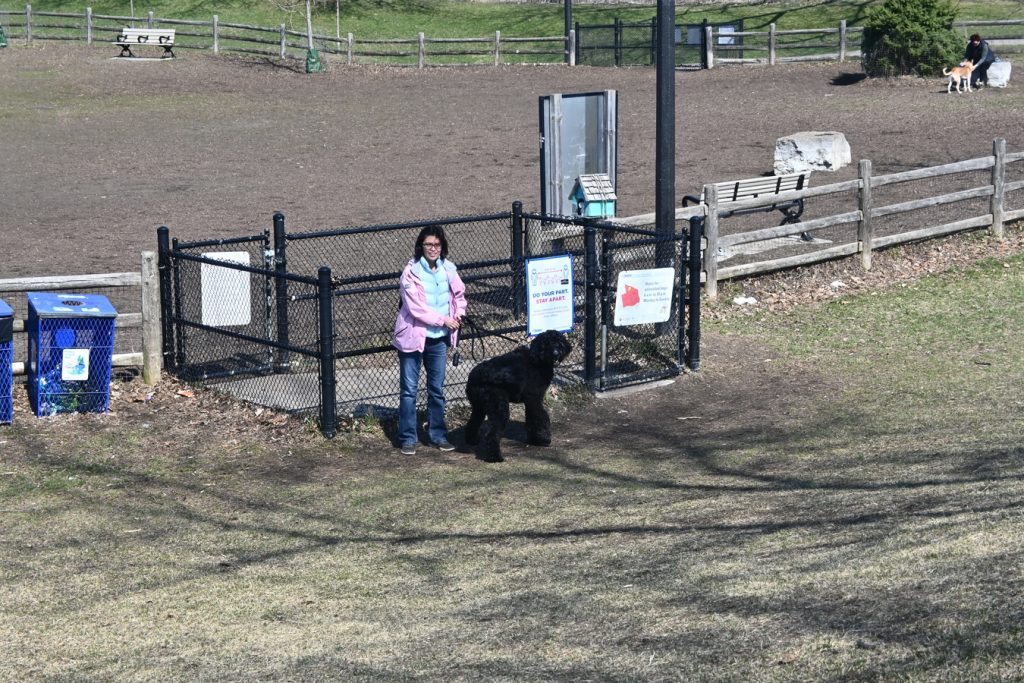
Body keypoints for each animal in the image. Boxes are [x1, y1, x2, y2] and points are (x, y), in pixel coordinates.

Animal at [466, 331, 577, 464]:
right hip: (498, 405)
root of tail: (477, 376)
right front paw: (544, 439)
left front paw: (534, 439)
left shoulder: (530, 401)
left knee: (474, 422)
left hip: (478, 406)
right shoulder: (534, 399)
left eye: (559, 344)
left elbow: (531, 419)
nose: (556, 353)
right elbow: (541, 417)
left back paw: (472, 440)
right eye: (548, 344)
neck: (537, 358)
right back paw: (494, 457)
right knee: (492, 434)